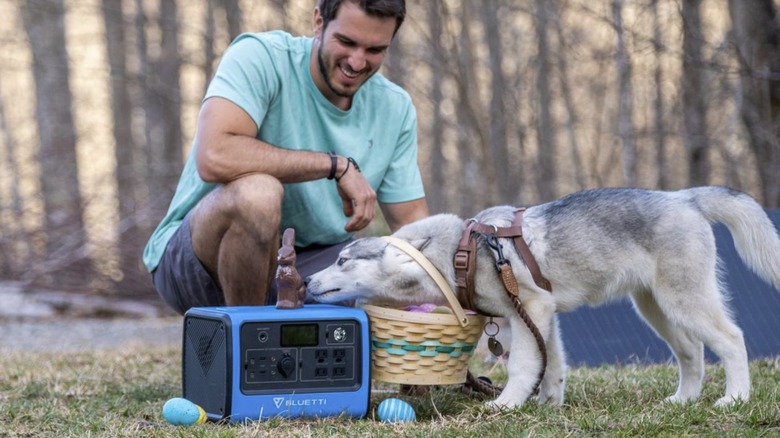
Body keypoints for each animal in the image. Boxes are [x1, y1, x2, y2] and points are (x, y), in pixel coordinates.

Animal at [304, 186, 780, 408]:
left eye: (343, 260)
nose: (307, 282)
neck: (463, 250)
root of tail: (685, 198)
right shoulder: (540, 316)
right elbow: (551, 364)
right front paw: (548, 404)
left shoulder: (528, 311)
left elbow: (523, 365)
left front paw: (506, 406)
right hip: (655, 307)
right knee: (691, 351)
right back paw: (683, 399)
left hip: (685, 299)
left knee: (731, 340)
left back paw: (735, 397)